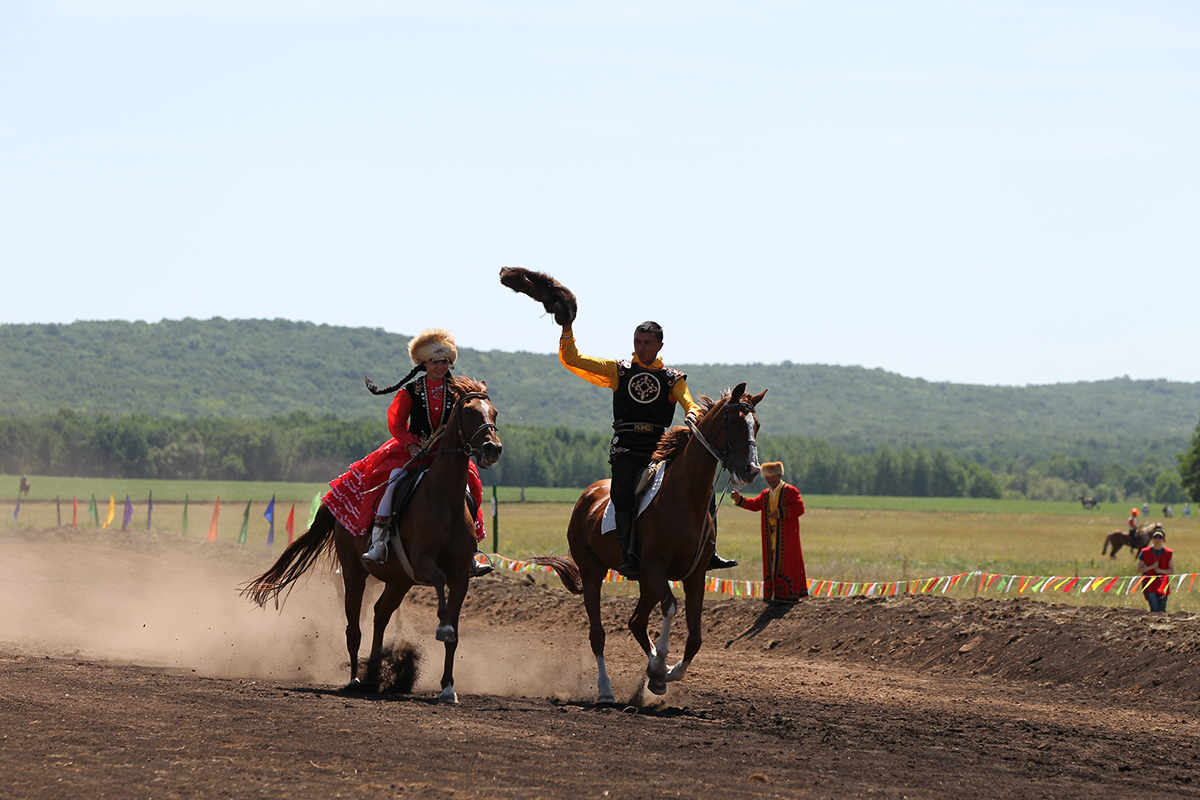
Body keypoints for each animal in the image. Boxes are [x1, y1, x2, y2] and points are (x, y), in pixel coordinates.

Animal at [243, 379, 501, 705]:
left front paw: (447, 688)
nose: (493, 448)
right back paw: (356, 677)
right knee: (354, 626)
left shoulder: (459, 574)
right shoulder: (423, 562)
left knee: (380, 615)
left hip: (399, 580)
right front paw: (441, 628)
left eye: (493, 412)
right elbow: (441, 595)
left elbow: (454, 631)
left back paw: (376, 670)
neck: (445, 498)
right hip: (354, 574)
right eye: (468, 412)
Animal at [537, 383, 763, 705]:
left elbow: (695, 638)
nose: (750, 470)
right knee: (598, 634)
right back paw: (605, 690)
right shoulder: (656, 566)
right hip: (594, 572)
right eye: (733, 422)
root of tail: (587, 496)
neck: (684, 498)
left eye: (756, 425)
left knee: (636, 622)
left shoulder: (695, 575)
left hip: (645, 582)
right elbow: (671, 607)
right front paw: (659, 666)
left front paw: (663, 673)